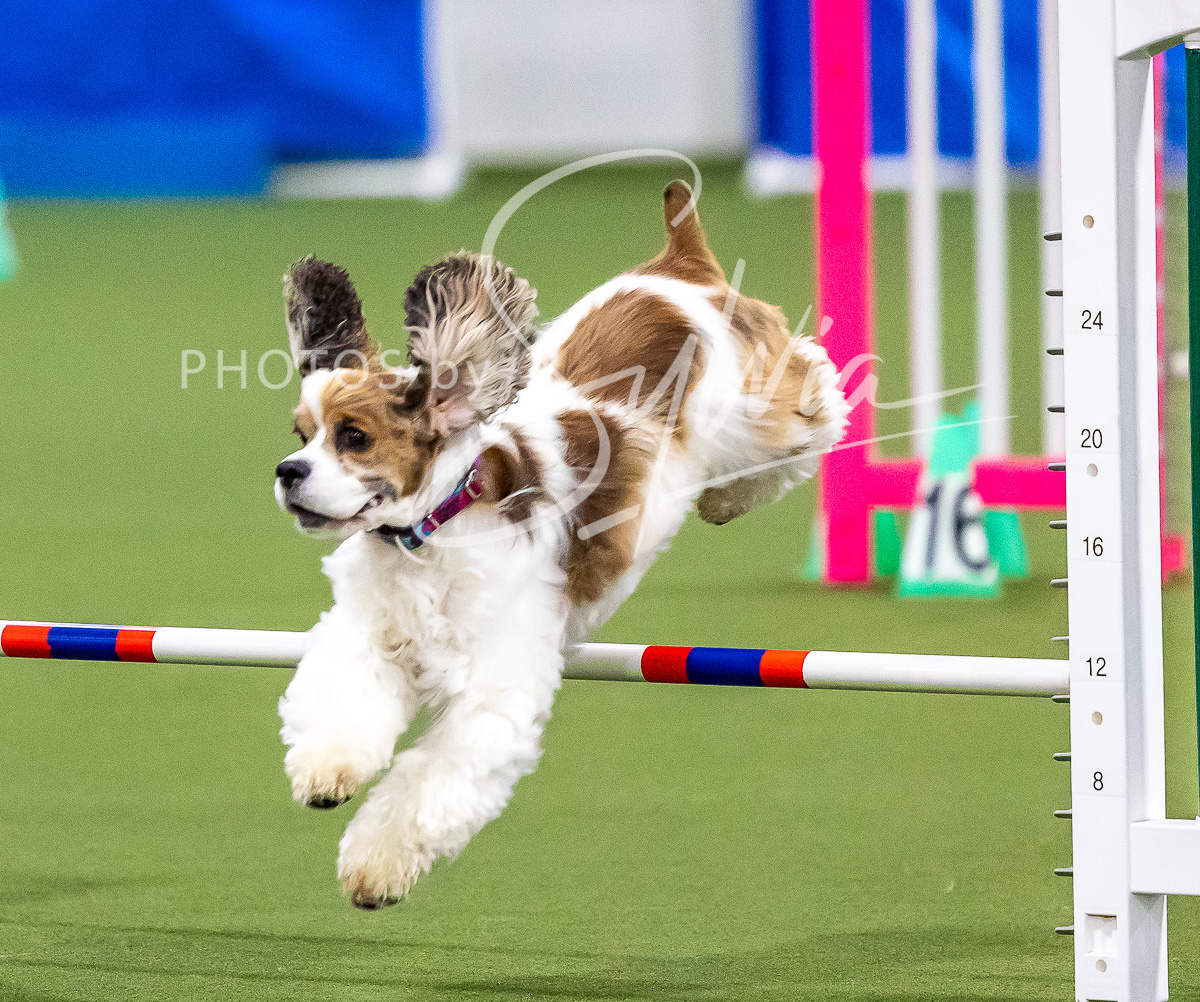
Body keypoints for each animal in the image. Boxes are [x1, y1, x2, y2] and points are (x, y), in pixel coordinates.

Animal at [273, 181, 849, 908]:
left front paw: (376, 865)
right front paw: (327, 774)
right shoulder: (370, 637)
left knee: (817, 401)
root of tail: (680, 265)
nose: (288, 473)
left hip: (756, 413)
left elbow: (428, 781)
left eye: (354, 437)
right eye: (302, 436)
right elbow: (340, 707)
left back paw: (733, 493)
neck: (435, 534)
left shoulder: (495, 688)